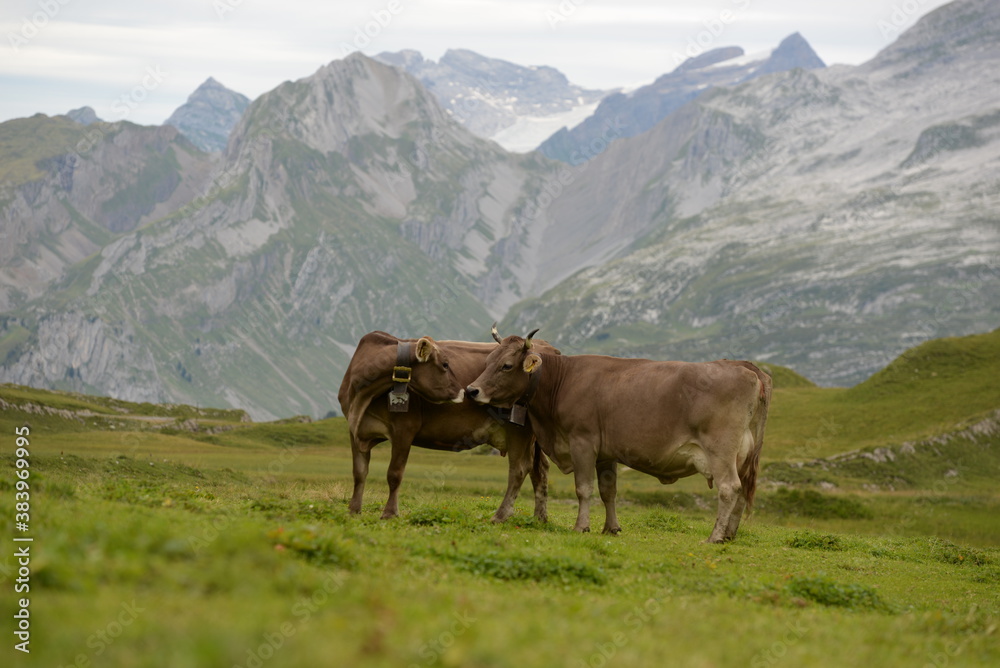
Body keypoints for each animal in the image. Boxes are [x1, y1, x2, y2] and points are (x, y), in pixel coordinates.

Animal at [340, 332, 552, 524]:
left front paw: (390, 513)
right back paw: (539, 518)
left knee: (519, 469)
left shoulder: (404, 429)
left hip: (520, 431)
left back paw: (501, 515)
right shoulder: (354, 429)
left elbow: (394, 474)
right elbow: (359, 472)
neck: (362, 399)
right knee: (539, 470)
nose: (464, 392)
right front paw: (353, 510)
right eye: (445, 364)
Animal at [464, 328, 768, 544]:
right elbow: (608, 490)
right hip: (744, 454)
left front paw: (581, 526)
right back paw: (729, 535)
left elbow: (583, 488)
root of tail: (744, 366)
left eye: (506, 365)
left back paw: (714, 537)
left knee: (729, 488)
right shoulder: (605, 452)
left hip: (720, 450)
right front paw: (610, 528)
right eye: (488, 360)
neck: (562, 380)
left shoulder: (583, 442)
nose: (471, 390)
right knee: (743, 491)